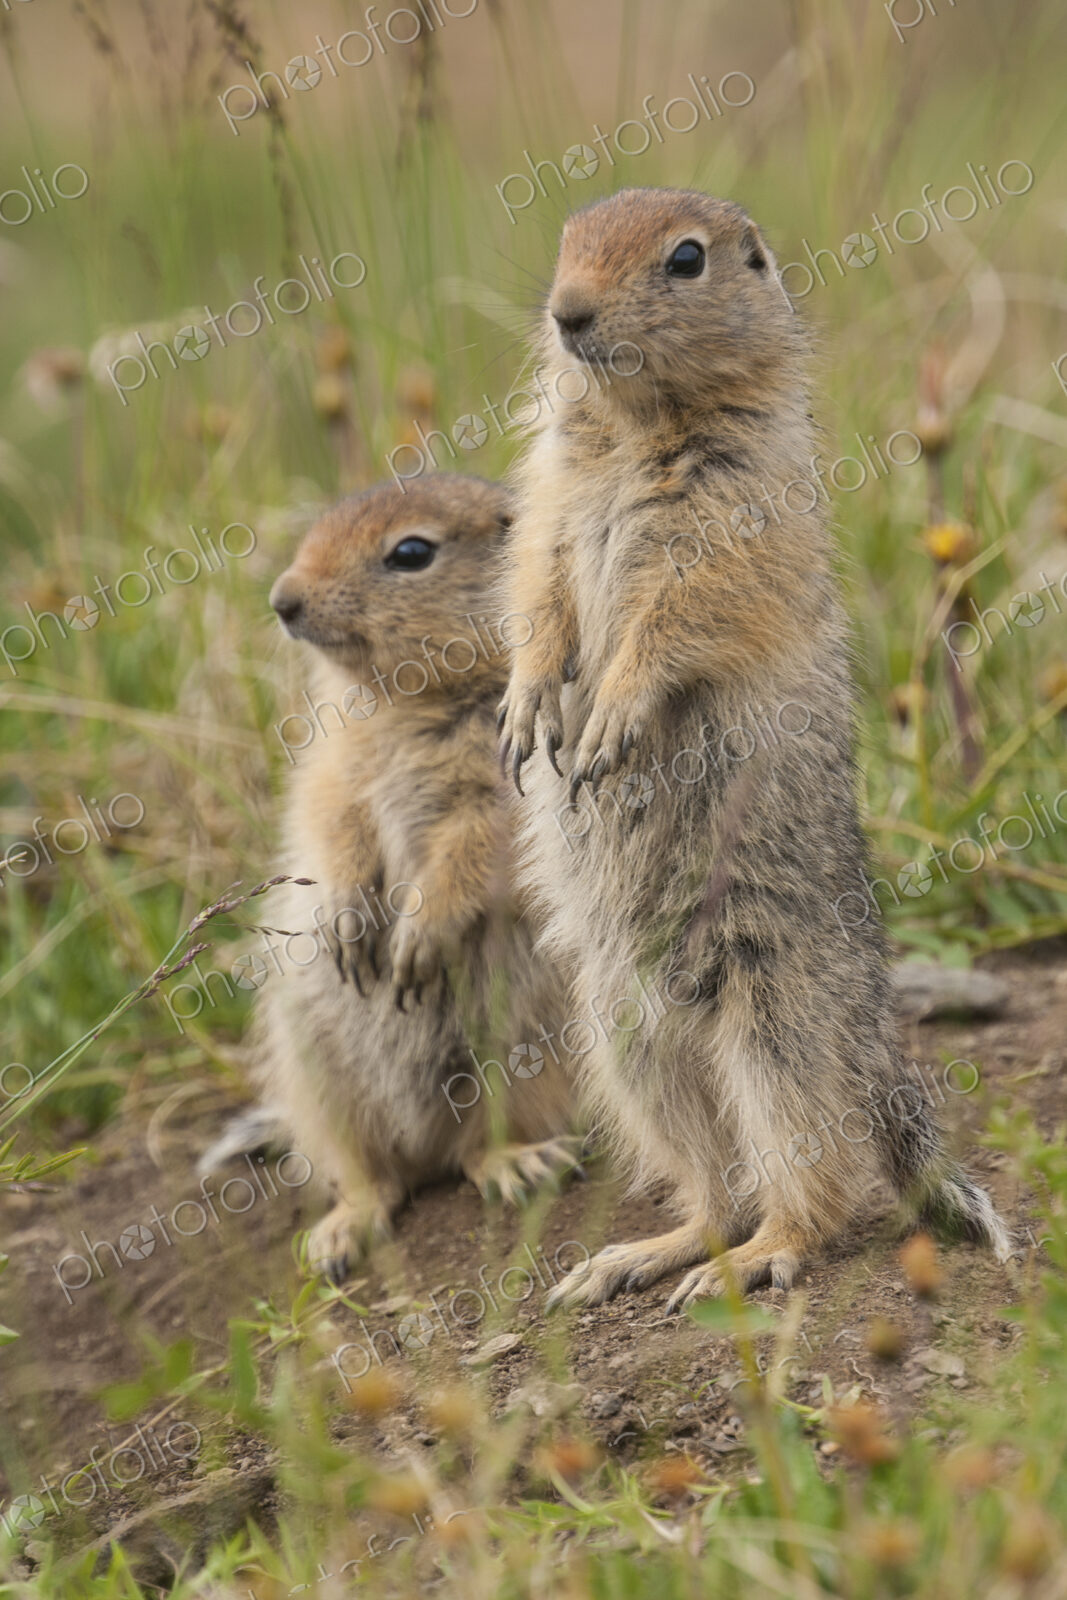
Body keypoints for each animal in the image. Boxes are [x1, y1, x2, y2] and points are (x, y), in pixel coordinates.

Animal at [205, 474, 576, 1284]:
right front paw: (348, 925)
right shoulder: (332, 760)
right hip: (316, 1072)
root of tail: (425, 1142)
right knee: (373, 1179)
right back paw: (338, 1236)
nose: (282, 600)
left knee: (474, 1153)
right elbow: (331, 826)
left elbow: (474, 849)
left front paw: (415, 942)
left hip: (527, 1057)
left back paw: (520, 1164)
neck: (407, 700)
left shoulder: (504, 787)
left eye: (411, 552)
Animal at [497, 187, 1011, 1309]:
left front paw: (606, 719)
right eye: (566, 239)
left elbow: (682, 611)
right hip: (625, 1037)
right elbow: (536, 590)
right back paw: (633, 1258)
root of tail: (877, 1047)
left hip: (778, 1025)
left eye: (685, 259)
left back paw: (759, 1255)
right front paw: (524, 712)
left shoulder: (738, 513)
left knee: (814, 1183)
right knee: (711, 1188)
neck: (636, 426)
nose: (564, 313)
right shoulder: (547, 501)